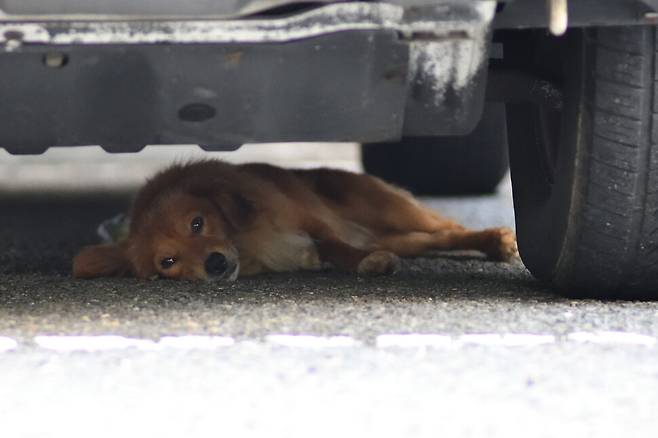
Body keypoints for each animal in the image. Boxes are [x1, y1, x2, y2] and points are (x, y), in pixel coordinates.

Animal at [73, 161, 516, 280]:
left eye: (197, 223)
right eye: (168, 262)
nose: (214, 264)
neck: (246, 243)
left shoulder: (312, 220)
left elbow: (335, 245)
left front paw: (365, 264)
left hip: (387, 207)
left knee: (451, 228)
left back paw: (498, 238)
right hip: (400, 236)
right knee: (435, 240)